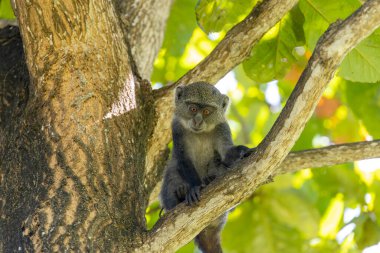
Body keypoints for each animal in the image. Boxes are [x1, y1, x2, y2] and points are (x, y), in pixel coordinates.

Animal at [160, 82, 251, 253]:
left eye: (207, 111)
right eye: (193, 109)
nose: (197, 121)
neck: (200, 133)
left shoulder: (222, 127)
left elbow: (226, 153)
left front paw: (243, 150)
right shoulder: (177, 127)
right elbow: (184, 159)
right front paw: (194, 188)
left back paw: (210, 179)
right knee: (172, 170)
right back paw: (181, 193)